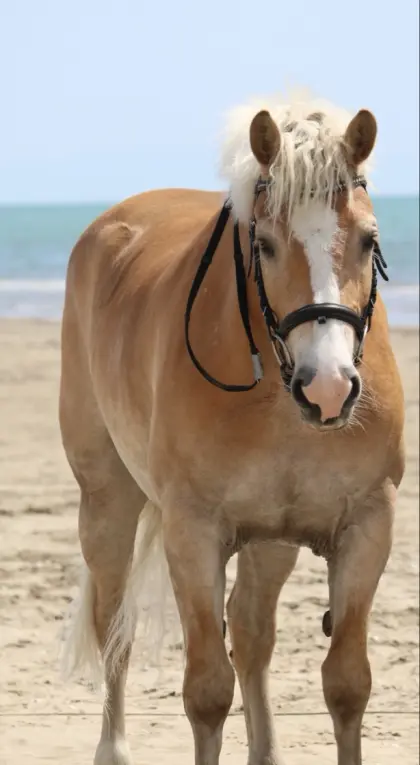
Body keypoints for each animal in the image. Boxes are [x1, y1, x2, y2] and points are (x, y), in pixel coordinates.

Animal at [59, 94, 405, 765]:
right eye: (264, 244)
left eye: (369, 239)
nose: (327, 388)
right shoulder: (192, 532)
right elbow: (207, 693)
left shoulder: (367, 526)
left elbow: (347, 683)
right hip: (107, 502)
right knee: (115, 626)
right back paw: (113, 747)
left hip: (272, 539)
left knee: (249, 632)